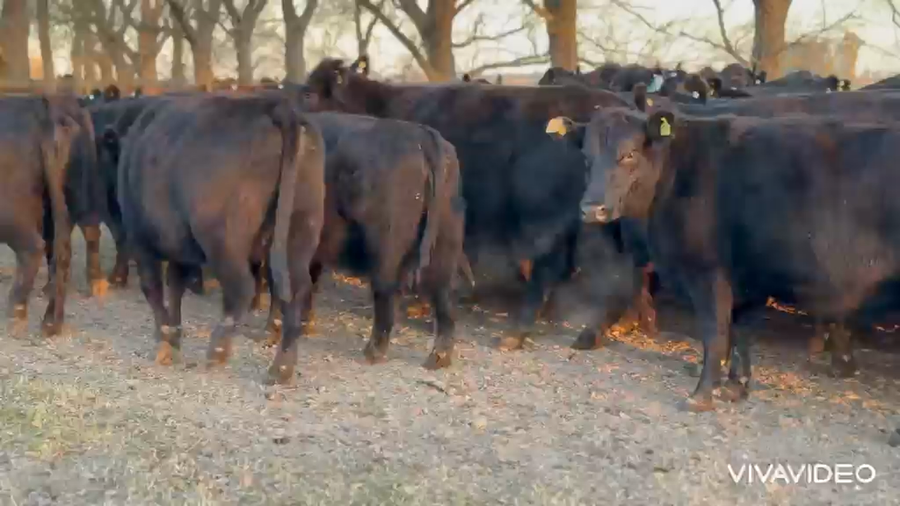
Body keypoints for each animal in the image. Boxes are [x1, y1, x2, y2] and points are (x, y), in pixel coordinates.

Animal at [0, 95, 93, 337]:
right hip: (65, 201)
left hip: (11, 212)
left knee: (33, 248)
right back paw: (52, 322)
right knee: (61, 252)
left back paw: (16, 312)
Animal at [113, 93, 325, 384]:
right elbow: (176, 285)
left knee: (242, 288)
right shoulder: (180, 246)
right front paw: (174, 336)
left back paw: (218, 350)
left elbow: (153, 287)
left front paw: (166, 341)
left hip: (223, 239)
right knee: (297, 290)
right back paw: (282, 367)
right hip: (301, 228)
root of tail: (274, 105)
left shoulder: (141, 239)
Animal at [545, 106, 900, 411]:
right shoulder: (747, 277)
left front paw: (701, 396)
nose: (592, 209)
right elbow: (740, 331)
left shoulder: (707, 272)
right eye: (586, 158)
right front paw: (734, 388)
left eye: (629, 154)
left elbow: (715, 333)